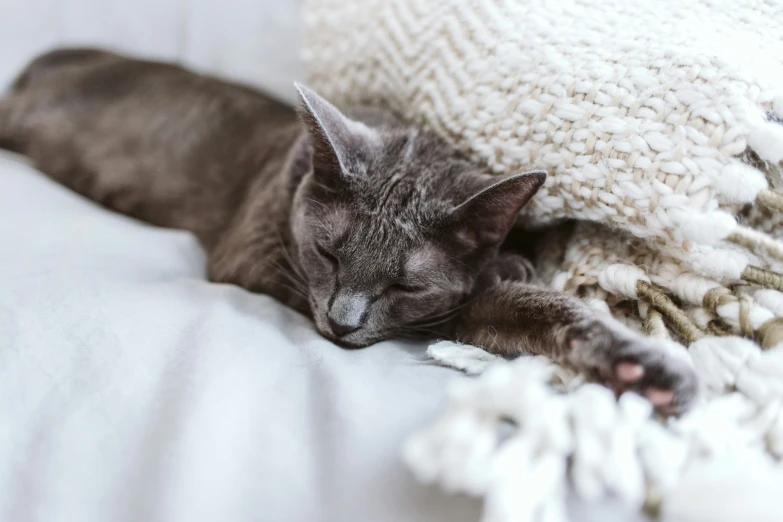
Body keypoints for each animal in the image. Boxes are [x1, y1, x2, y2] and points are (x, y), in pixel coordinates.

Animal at [0, 49, 700, 414]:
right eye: (327, 254)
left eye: (405, 285)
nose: (342, 323)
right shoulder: (252, 255)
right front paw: (510, 266)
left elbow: (538, 310)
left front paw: (646, 369)